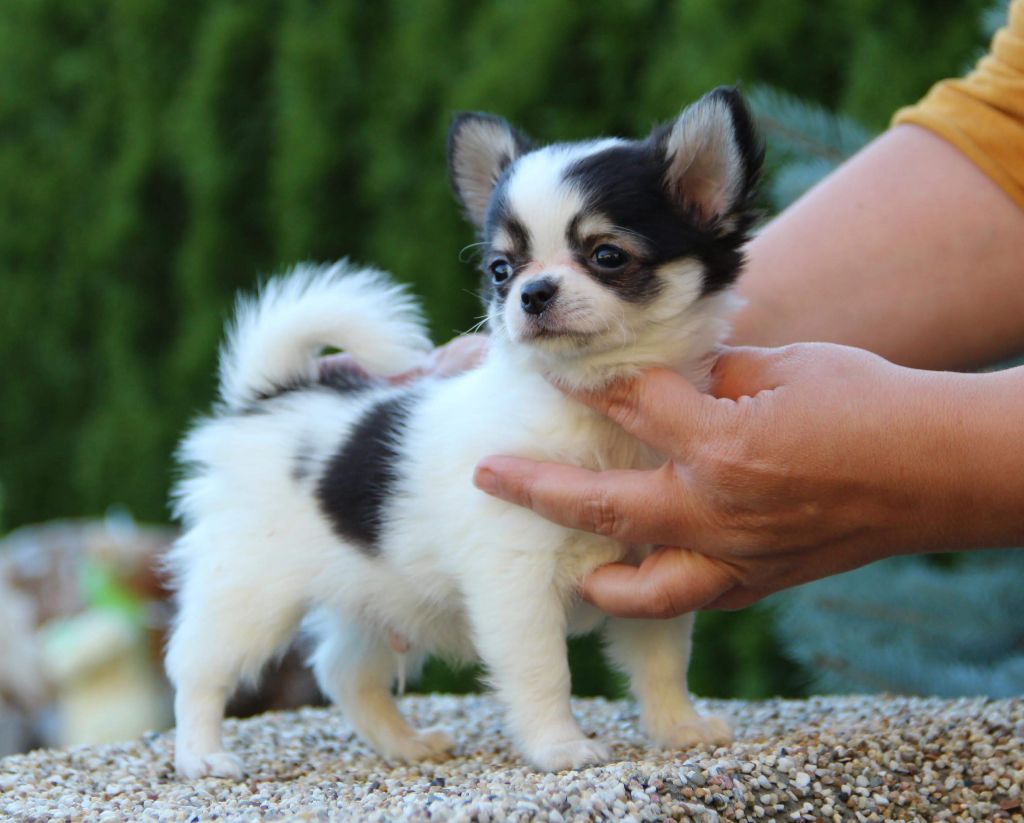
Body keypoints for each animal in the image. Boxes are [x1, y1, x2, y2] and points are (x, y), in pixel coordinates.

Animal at [167, 87, 761, 782]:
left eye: (607, 256)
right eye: (501, 270)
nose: (531, 292)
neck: (592, 410)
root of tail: (274, 392)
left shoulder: (650, 567)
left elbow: (664, 664)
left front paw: (679, 729)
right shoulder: (516, 578)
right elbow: (543, 672)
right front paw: (560, 747)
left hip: (376, 592)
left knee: (343, 671)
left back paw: (403, 745)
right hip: (249, 587)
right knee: (199, 668)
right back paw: (202, 753)